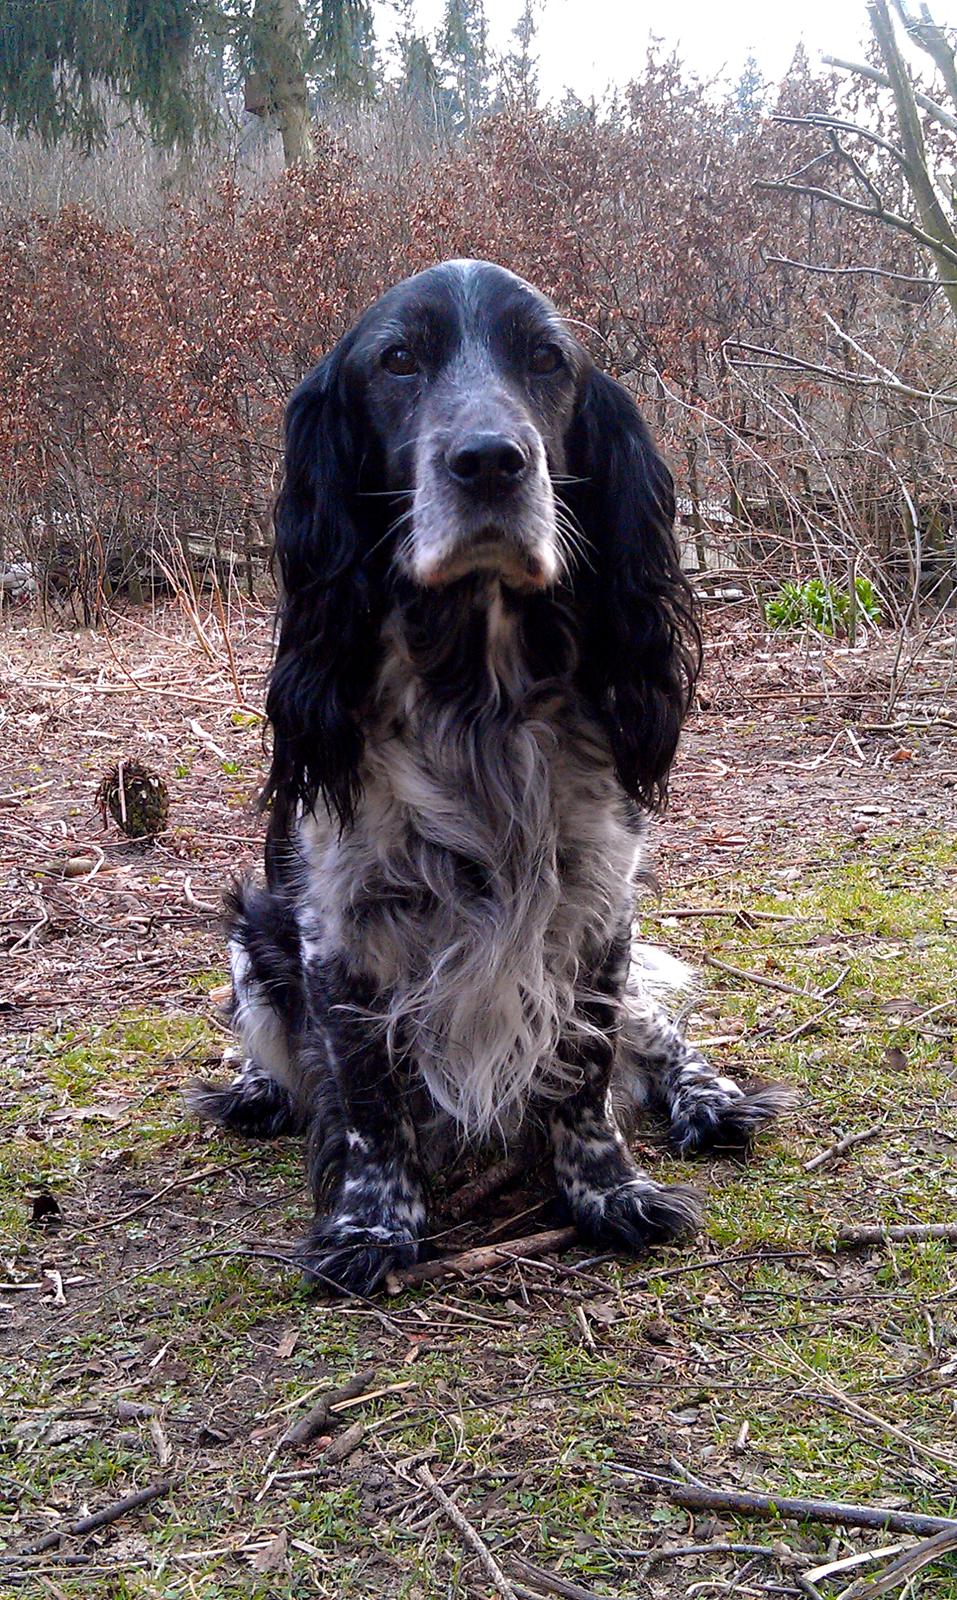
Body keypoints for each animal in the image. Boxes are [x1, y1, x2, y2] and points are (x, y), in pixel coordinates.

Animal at [187, 256, 793, 1292]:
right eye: (397, 360)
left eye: (546, 358)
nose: (489, 461)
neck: (476, 690)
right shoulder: (338, 926)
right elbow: (370, 1102)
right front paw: (371, 1225)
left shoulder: (597, 905)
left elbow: (586, 1072)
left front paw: (609, 1193)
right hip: (251, 935)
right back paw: (259, 1088)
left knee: (656, 1033)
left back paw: (707, 1096)